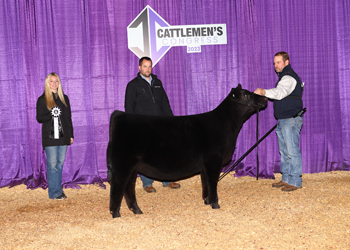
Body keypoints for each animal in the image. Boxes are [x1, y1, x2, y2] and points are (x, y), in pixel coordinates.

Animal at [108, 83, 266, 217]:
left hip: (132, 167)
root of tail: (121, 114)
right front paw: (215, 204)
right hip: (122, 165)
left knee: (129, 187)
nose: (264, 98)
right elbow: (213, 183)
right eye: (245, 95)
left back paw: (137, 210)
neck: (227, 125)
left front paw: (207, 201)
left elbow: (205, 183)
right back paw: (116, 214)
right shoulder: (213, 161)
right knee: (117, 187)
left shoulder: (205, 166)